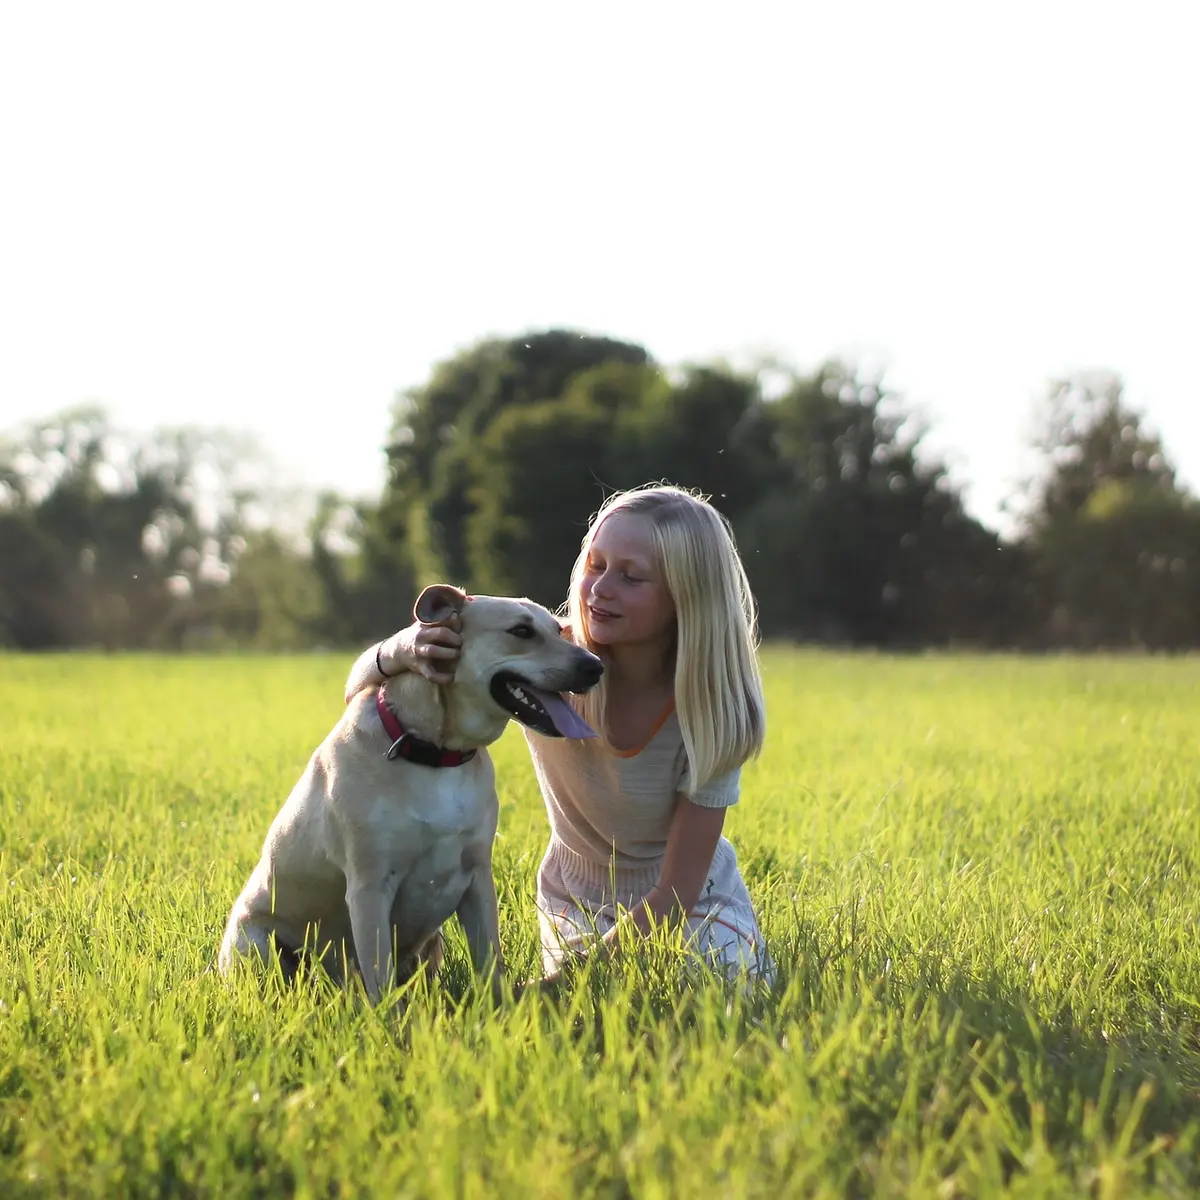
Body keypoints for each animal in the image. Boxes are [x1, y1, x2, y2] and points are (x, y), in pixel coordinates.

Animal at [218, 580, 600, 1003]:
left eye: (559, 630)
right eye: (520, 631)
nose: (596, 666)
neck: (436, 754)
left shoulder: (478, 878)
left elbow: (489, 963)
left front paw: (499, 1010)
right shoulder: (369, 887)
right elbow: (380, 980)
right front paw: (389, 1019)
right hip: (257, 944)